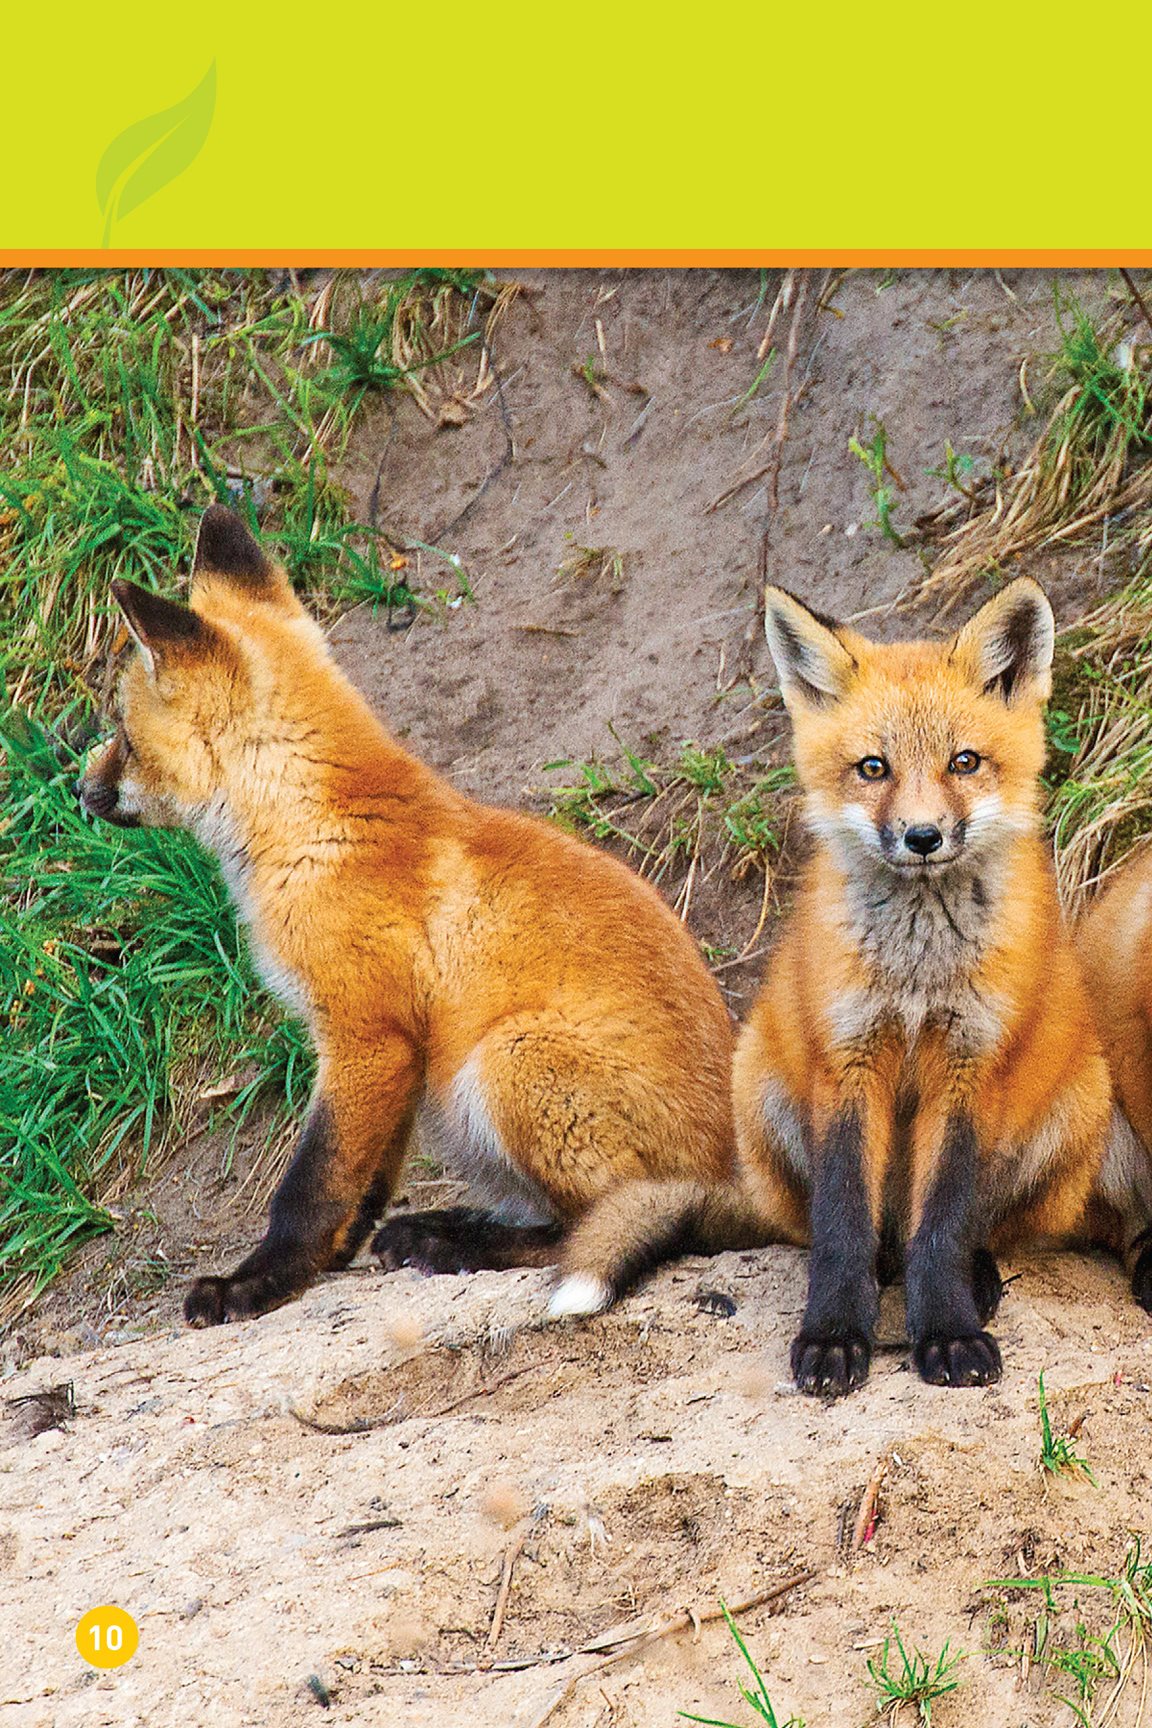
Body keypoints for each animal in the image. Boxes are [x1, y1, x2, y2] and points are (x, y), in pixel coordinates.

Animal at [76, 504, 735, 1327]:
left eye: (123, 737)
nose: (79, 789)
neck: (318, 829)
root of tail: (739, 1177)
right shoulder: (393, 1051)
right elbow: (365, 1177)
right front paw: (334, 1255)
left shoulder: (367, 1034)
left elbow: (309, 1186)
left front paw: (259, 1283)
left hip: (508, 1059)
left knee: (589, 1226)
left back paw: (454, 1243)